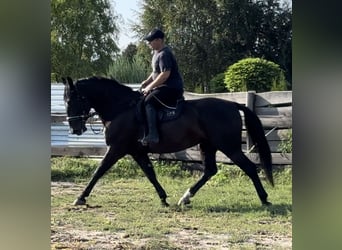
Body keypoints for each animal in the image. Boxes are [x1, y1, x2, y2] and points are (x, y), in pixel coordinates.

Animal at [62, 76, 274, 207]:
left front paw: (80, 198)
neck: (121, 109)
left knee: (249, 168)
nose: (75, 128)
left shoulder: (117, 148)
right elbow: (150, 173)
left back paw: (264, 199)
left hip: (228, 146)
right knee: (210, 171)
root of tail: (233, 104)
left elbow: (99, 171)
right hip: (208, 145)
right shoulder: (137, 151)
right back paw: (186, 197)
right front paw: (163, 198)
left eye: (72, 100)